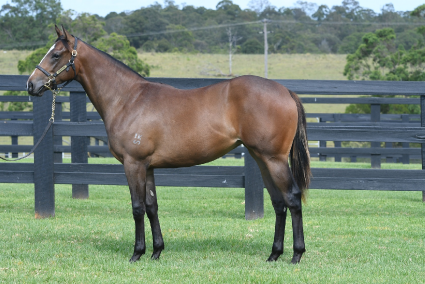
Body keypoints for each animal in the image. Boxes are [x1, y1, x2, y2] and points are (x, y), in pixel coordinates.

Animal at [27, 26, 312, 264]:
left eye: (56, 54)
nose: (31, 84)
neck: (127, 98)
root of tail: (286, 92)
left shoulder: (133, 164)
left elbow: (137, 208)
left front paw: (137, 253)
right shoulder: (148, 167)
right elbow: (152, 207)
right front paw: (156, 251)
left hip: (274, 160)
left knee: (292, 198)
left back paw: (296, 255)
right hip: (261, 159)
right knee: (278, 203)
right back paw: (274, 255)